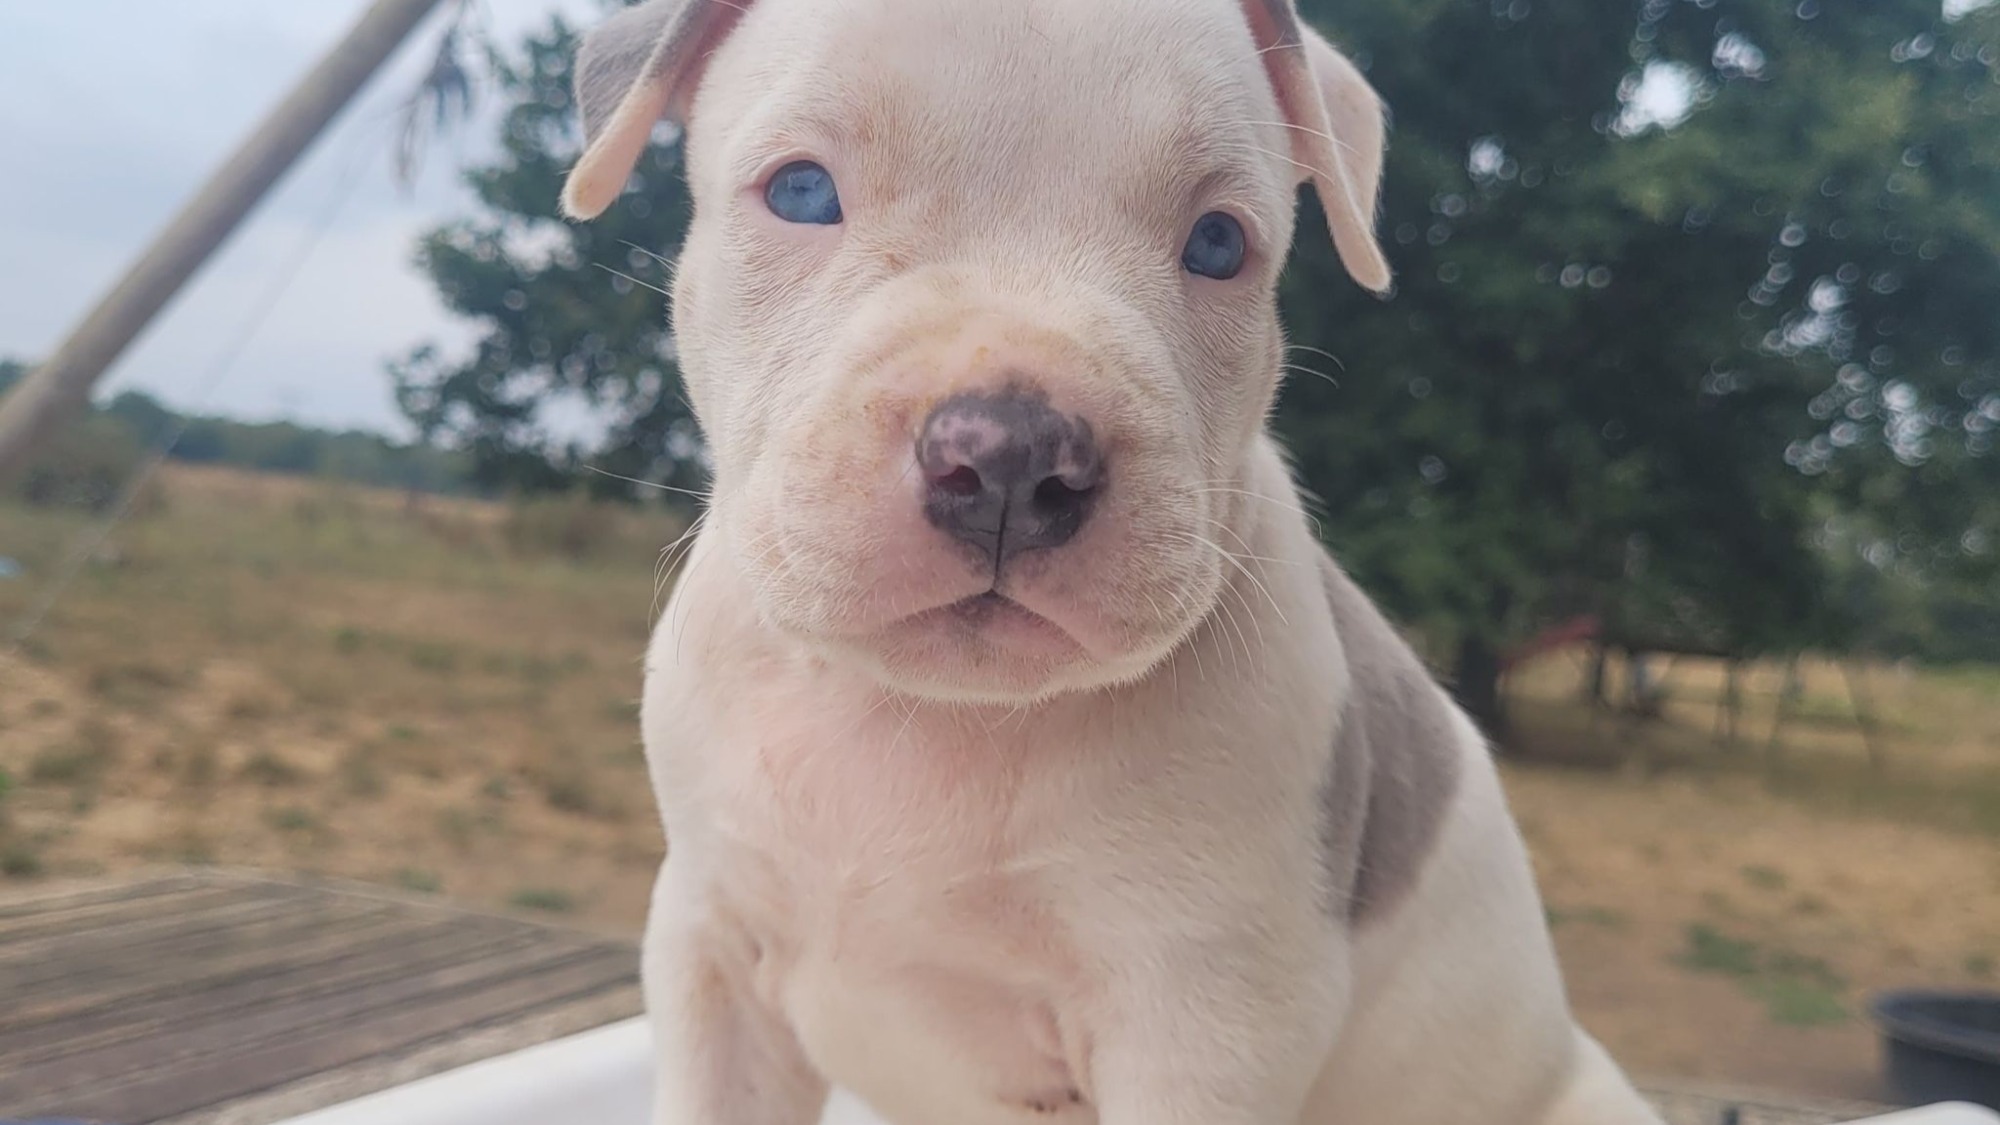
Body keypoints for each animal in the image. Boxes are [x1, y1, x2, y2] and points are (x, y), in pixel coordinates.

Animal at [560, 2, 1656, 1120]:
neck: (931, 716)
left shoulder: (1205, 1026)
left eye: (1218, 243)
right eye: (800, 191)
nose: (1009, 457)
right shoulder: (708, 945)